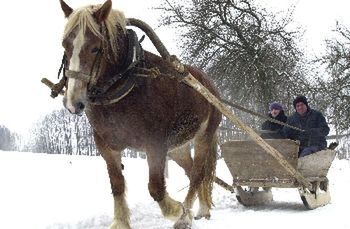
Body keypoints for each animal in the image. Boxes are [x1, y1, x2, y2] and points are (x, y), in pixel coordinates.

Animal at [58, 0, 220, 228]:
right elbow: (117, 185)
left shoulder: (155, 144)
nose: (73, 103)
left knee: (198, 174)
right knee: (192, 172)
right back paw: (202, 209)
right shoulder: (106, 146)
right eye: (65, 45)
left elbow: (156, 188)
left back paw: (187, 213)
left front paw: (178, 211)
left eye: (95, 48)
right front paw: (120, 221)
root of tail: (210, 85)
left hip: (204, 136)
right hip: (178, 147)